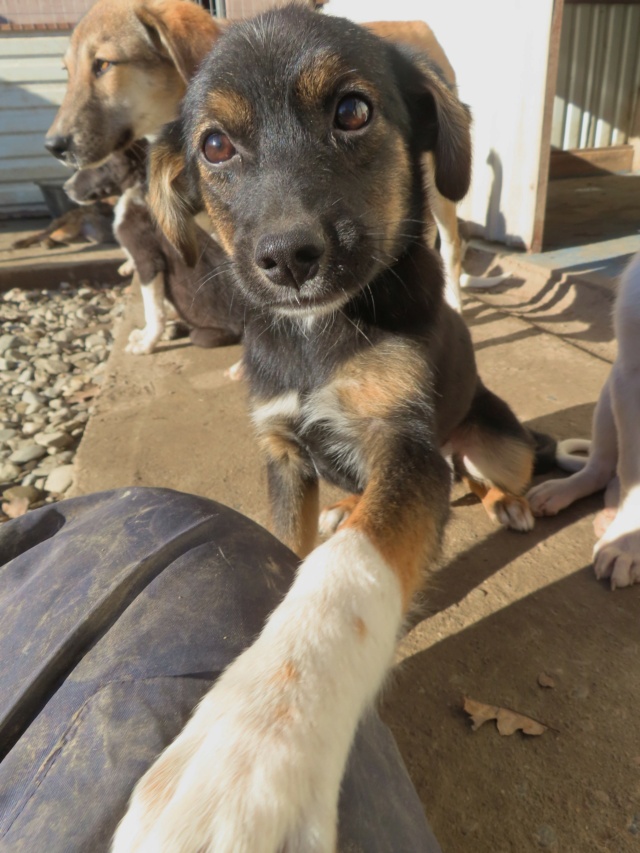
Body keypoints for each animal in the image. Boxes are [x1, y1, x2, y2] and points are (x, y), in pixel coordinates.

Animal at [114, 8, 536, 852]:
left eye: (352, 110)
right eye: (215, 145)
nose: (287, 257)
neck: (317, 335)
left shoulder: (408, 448)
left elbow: (344, 574)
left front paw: (250, 748)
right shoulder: (283, 452)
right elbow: (291, 544)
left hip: (492, 437)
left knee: (509, 466)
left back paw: (511, 502)